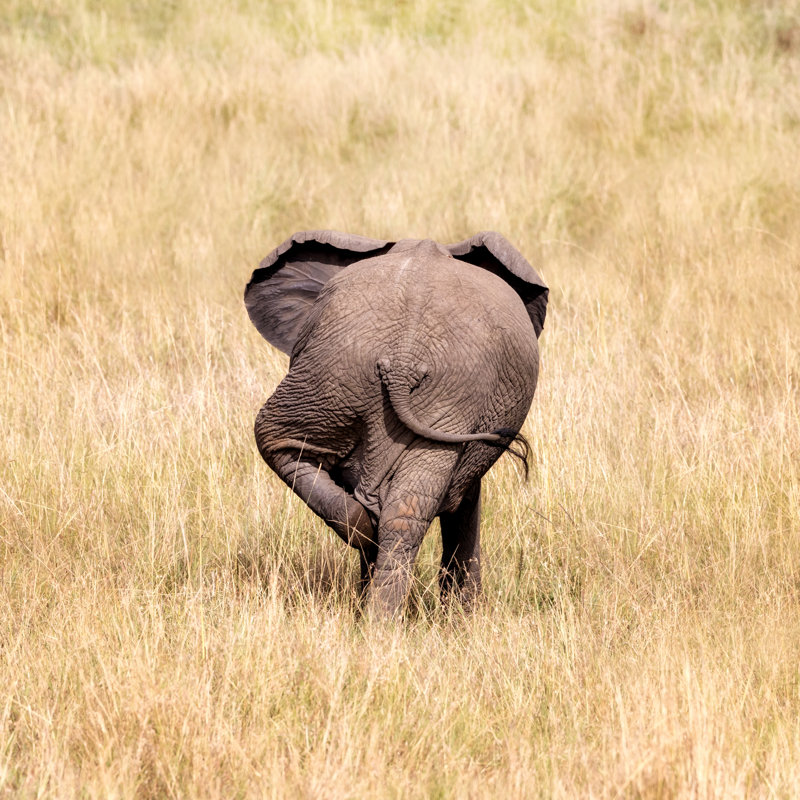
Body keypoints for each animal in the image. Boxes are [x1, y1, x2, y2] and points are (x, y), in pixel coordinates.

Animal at [245, 230, 548, 617]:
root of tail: (403, 359)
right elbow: (465, 500)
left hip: (344, 374)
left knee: (281, 441)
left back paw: (371, 589)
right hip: (376, 380)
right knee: (278, 437)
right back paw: (378, 611)